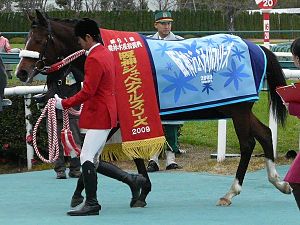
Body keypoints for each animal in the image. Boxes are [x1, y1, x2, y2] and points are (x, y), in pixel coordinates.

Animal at [15, 10, 290, 207]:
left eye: (38, 40)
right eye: (26, 39)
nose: (21, 72)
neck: (109, 56)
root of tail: (256, 47)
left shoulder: (118, 116)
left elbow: (93, 156)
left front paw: (80, 195)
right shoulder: (131, 115)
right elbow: (129, 154)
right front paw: (141, 190)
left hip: (238, 109)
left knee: (248, 143)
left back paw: (231, 192)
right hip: (235, 109)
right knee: (265, 134)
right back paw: (278, 182)